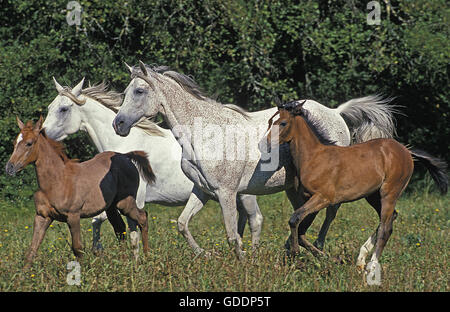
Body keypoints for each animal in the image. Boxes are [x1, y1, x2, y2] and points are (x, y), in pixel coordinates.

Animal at [4, 116, 156, 266]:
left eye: (29, 143)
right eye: (14, 142)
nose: (9, 168)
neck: (57, 181)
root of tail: (126, 156)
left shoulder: (73, 216)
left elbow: (77, 248)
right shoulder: (42, 216)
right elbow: (32, 249)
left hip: (125, 203)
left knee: (142, 218)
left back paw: (147, 258)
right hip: (111, 207)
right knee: (120, 228)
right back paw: (123, 263)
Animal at [42, 76, 264, 256]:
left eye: (63, 109)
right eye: (50, 107)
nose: (42, 134)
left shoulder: (136, 200)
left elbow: (128, 230)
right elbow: (99, 221)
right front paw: (99, 251)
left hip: (243, 194)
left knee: (255, 219)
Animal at [112, 62, 398, 260]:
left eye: (139, 91)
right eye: (126, 91)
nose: (118, 124)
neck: (203, 133)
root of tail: (336, 113)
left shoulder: (226, 193)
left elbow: (231, 234)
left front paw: (242, 261)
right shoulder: (203, 191)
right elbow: (183, 224)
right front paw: (206, 254)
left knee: (331, 212)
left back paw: (318, 249)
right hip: (294, 188)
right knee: (306, 215)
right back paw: (294, 248)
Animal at [268, 101, 446, 280]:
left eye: (283, 123)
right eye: (270, 122)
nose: (267, 143)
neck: (314, 158)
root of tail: (406, 151)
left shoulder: (323, 198)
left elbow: (294, 220)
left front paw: (296, 253)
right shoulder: (307, 199)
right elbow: (300, 230)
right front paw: (330, 259)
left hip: (390, 192)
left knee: (385, 228)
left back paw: (372, 267)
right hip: (373, 196)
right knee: (390, 219)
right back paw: (361, 258)